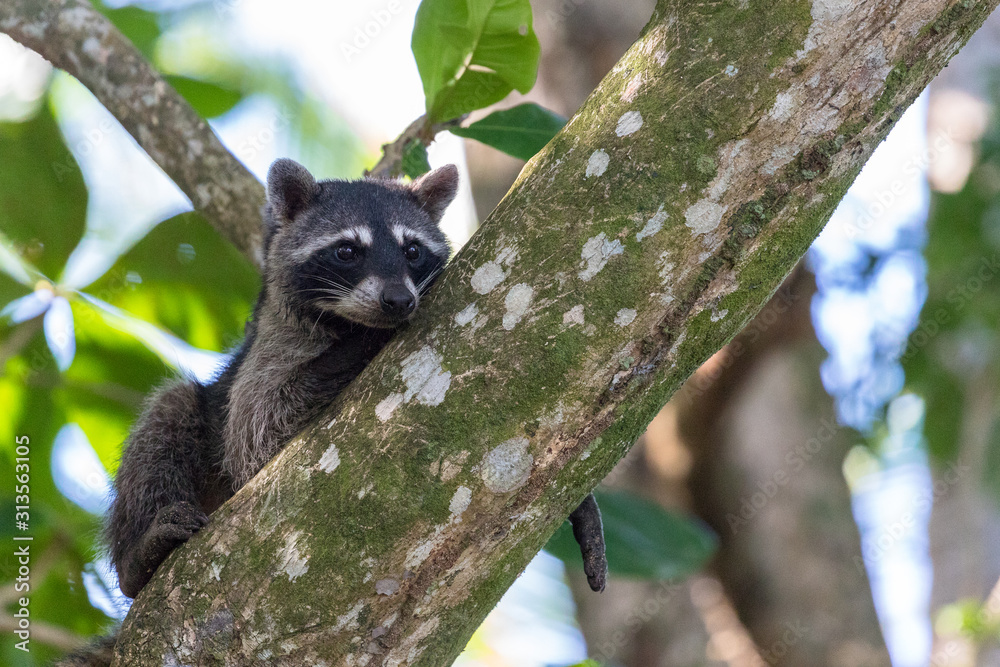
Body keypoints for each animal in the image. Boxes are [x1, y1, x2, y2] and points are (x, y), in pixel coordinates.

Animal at [105, 159, 606, 604]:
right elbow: (258, 435)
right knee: (172, 409)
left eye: (411, 250)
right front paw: (363, 342)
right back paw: (138, 557)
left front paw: (582, 504)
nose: (399, 301)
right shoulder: (269, 350)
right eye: (347, 251)